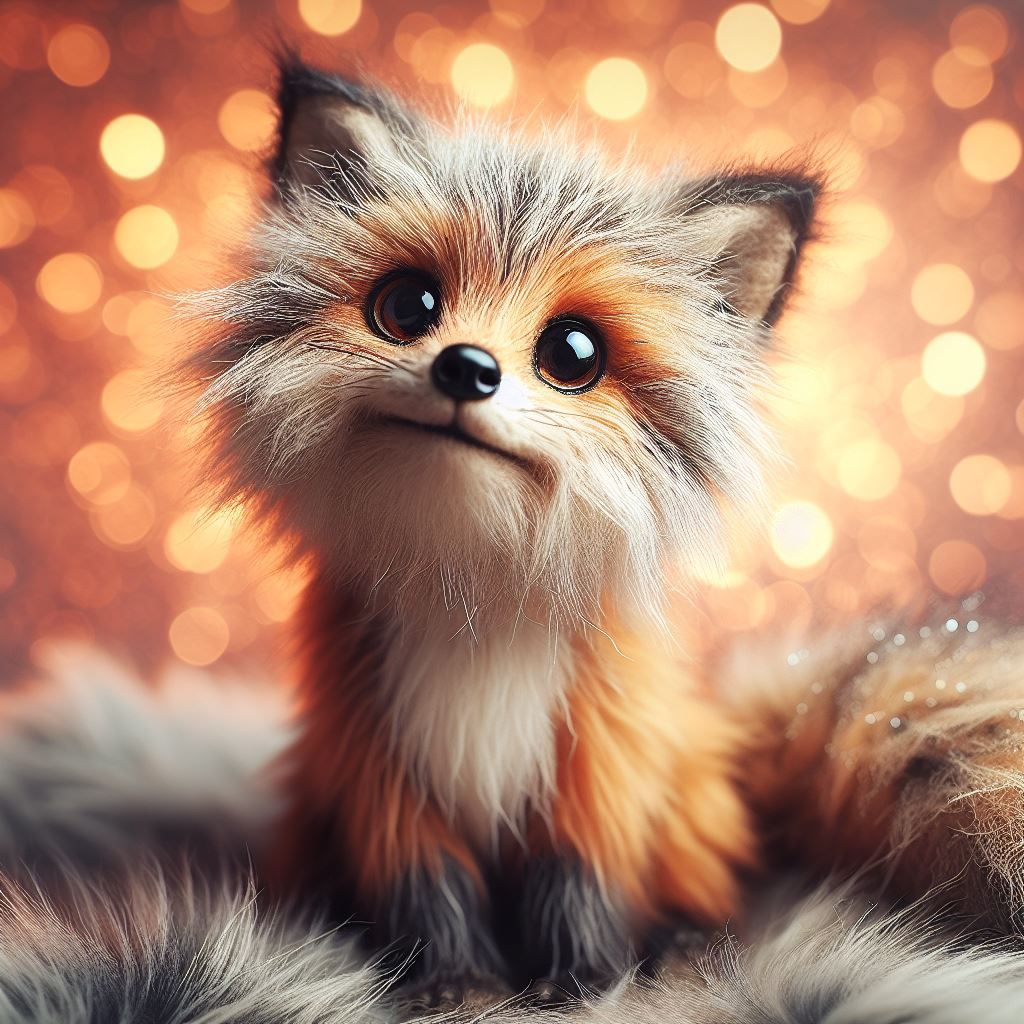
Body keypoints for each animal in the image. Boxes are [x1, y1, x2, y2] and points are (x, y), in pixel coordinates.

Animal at [183, 58, 1024, 1007]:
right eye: (406, 306)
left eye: (573, 355)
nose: (465, 369)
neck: (476, 606)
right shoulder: (383, 785)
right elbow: (433, 898)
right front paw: (453, 987)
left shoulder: (598, 779)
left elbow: (576, 891)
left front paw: (583, 985)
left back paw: (683, 941)